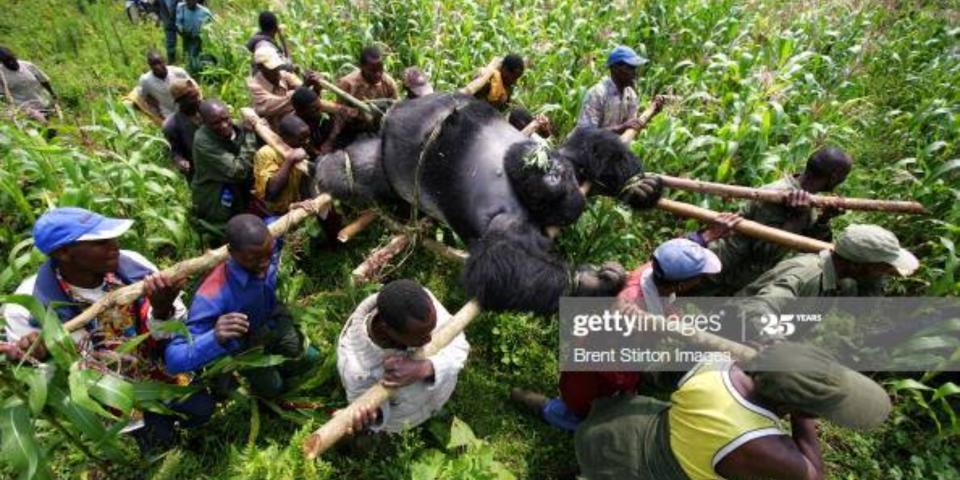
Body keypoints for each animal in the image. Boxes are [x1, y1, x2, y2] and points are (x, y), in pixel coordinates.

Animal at [316, 93, 660, 314]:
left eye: (557, 173)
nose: (549, 171)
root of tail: (392, 114)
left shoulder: (568, 161)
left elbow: (589, 143)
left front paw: (637, 186)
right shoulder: (510, 221)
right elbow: (496, 266)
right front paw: (588, 281)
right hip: (388, 162)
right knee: (350, 173)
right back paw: (330, 168)